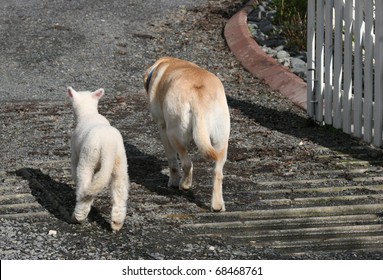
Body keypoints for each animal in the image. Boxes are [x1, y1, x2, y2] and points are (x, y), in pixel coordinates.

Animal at [68, 87, 130, 232]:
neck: (88, 113)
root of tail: (108, 145)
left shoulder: (75, 154)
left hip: (88, 157)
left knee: (84, 189)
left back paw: (77, 217)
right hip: (120, 161)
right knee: (120, 190)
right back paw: (117, 223)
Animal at [144, 57, 231, 211]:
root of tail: (198, 95)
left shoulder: (162, 127)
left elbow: (172, 161)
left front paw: (172, 182)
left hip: (174, 134)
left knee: (187, 163)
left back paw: (184, 185)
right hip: (221, 142)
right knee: (217, 173)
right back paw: (217, 205)